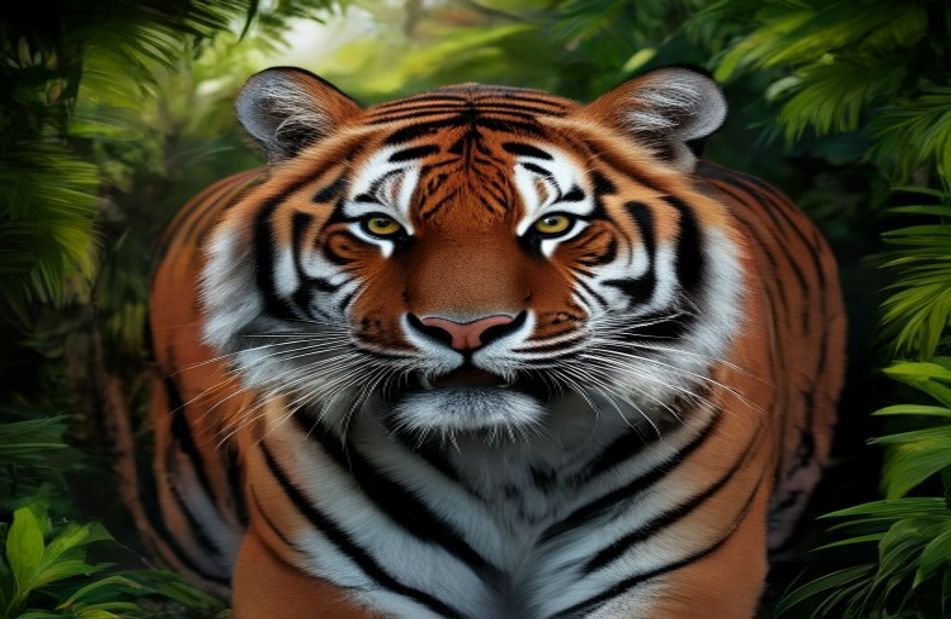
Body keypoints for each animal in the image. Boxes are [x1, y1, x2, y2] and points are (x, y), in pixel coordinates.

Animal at [136, 65, 846, 618]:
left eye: (554, 224)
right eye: (380, 227)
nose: (465, 329)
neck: (509, 461)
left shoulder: (679, 574)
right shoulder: (313, 578)